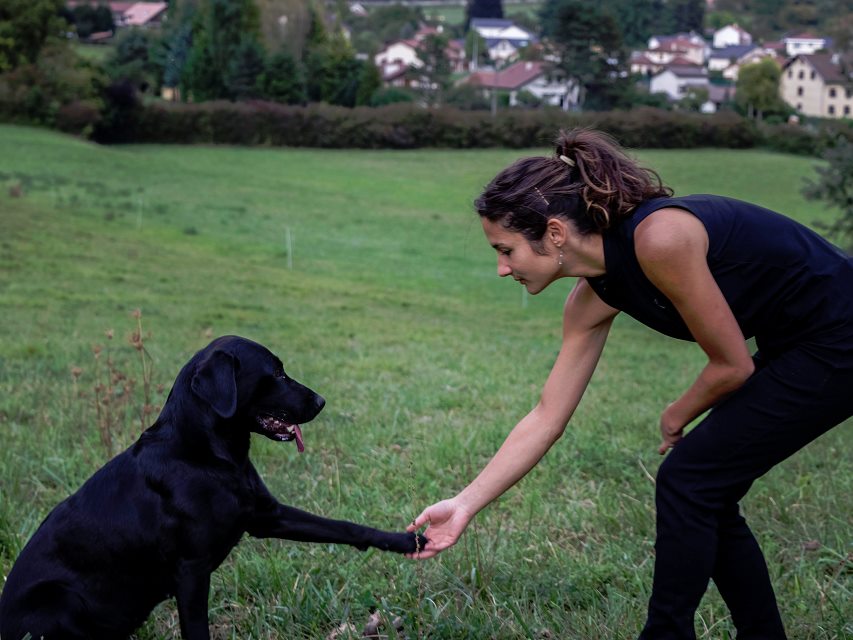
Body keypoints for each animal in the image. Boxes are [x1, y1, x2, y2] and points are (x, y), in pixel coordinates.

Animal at [0, 338, 426, 636]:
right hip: (60, 598)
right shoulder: (191, 570)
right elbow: (197, 630)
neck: (209, 457)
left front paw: (409, 540)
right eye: (276, 373)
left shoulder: (266, 516)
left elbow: (343, 527)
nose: (321, 401)